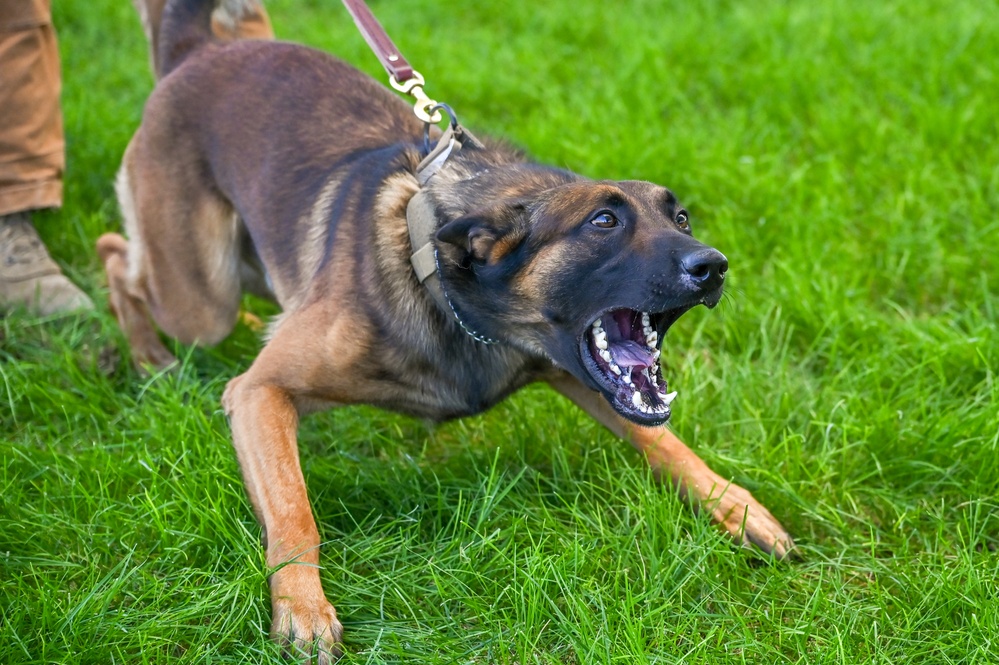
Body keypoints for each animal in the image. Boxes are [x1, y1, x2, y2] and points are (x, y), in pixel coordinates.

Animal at [99, 0, 796, 660]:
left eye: (680, 217)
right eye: (603, 222)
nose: (713, 266)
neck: (456, 294)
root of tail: (202, 49)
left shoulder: (582, 376)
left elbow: (665, 442)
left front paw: (738, 508)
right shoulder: (258, 394)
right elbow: (294, 511)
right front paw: (302, 608)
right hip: (198, 301)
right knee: (118, 256)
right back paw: (147, 357)